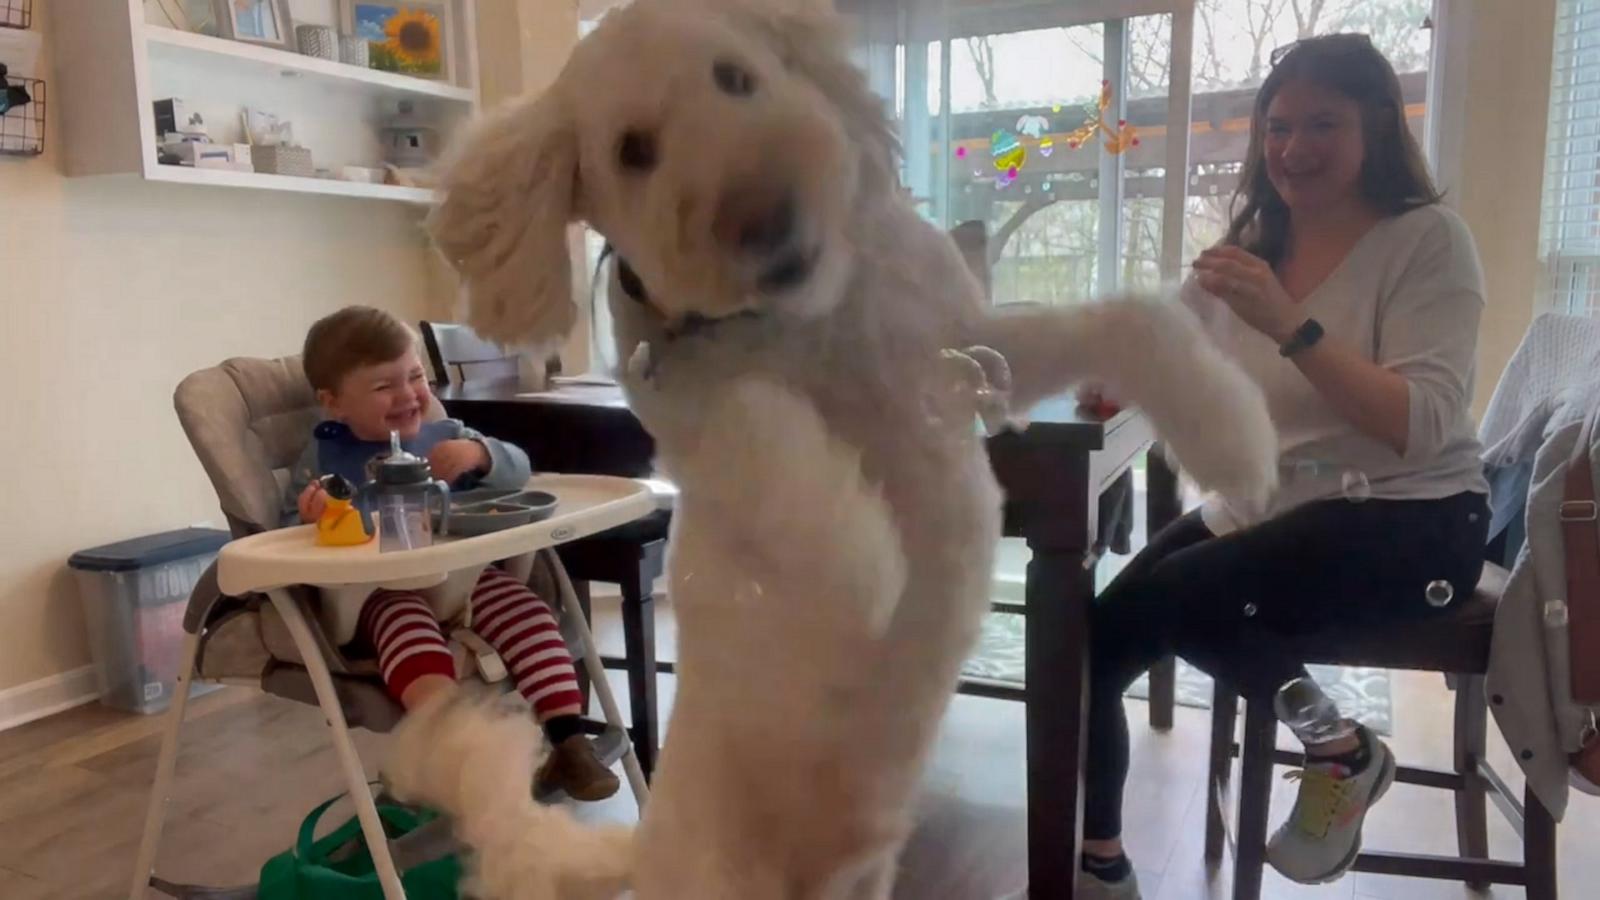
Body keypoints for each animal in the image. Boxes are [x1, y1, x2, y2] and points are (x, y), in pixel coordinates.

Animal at [387, 0, 1273, 890]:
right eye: (633, 150)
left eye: (736, 76)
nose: (766, 219)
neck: (812, 325)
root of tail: (640, 846)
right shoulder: (696, 419)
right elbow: (758, 425)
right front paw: (867, 564)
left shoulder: (973, 352)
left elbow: (1134, 318)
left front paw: (1237, 443)